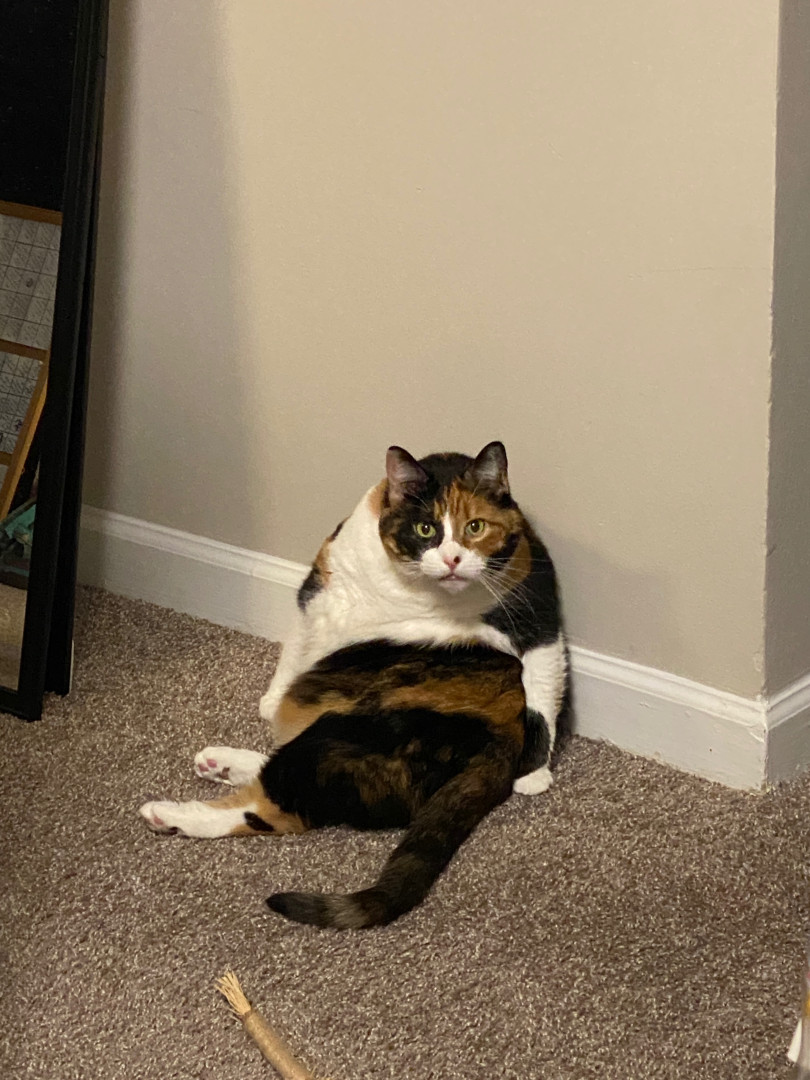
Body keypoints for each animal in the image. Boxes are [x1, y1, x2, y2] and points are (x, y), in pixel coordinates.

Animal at [139, 442, 566, 928]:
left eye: (474, 527)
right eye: (425, 528)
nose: (452, 560)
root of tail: (502, 745)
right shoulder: (322, 589)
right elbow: (297, 646)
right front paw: (273, 699)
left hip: (348, 736)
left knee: (271, 807)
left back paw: (169, 813)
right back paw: (221, 763)